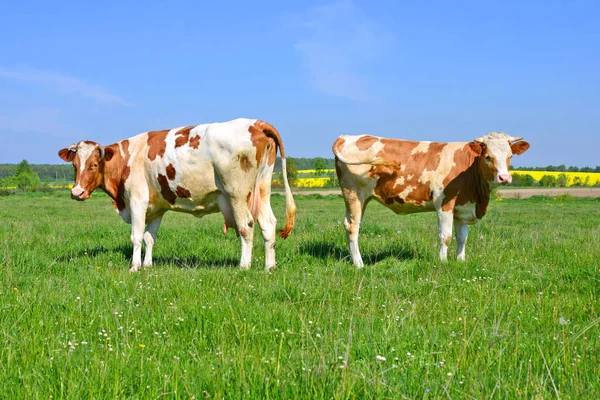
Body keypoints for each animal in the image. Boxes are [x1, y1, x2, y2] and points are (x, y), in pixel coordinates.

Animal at [57, 116, 296, 272]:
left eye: (94, 165)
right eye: (75, 165)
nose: (76, 192)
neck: (128, 157)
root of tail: (256, 122)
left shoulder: (137, 200)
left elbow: (136, 236)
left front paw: (135, 267)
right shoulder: (157, 208)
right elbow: (149, 237)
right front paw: (148, 265)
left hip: (236, 193)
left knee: (246, 226)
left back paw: (244, 266)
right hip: (262, 187)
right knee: (268, 223)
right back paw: (270, 266)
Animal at [332, 133, 528, 268]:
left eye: (510, 156)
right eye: (488, 157)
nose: (504, 177)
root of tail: (347, 136)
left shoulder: (462, 209)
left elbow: (462, 238)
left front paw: (460, 261)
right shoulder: (444, 204)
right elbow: (445, 236)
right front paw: (443, 262)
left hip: (363, 198)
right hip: (354, 194)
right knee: (352, 226)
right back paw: (359, 264)